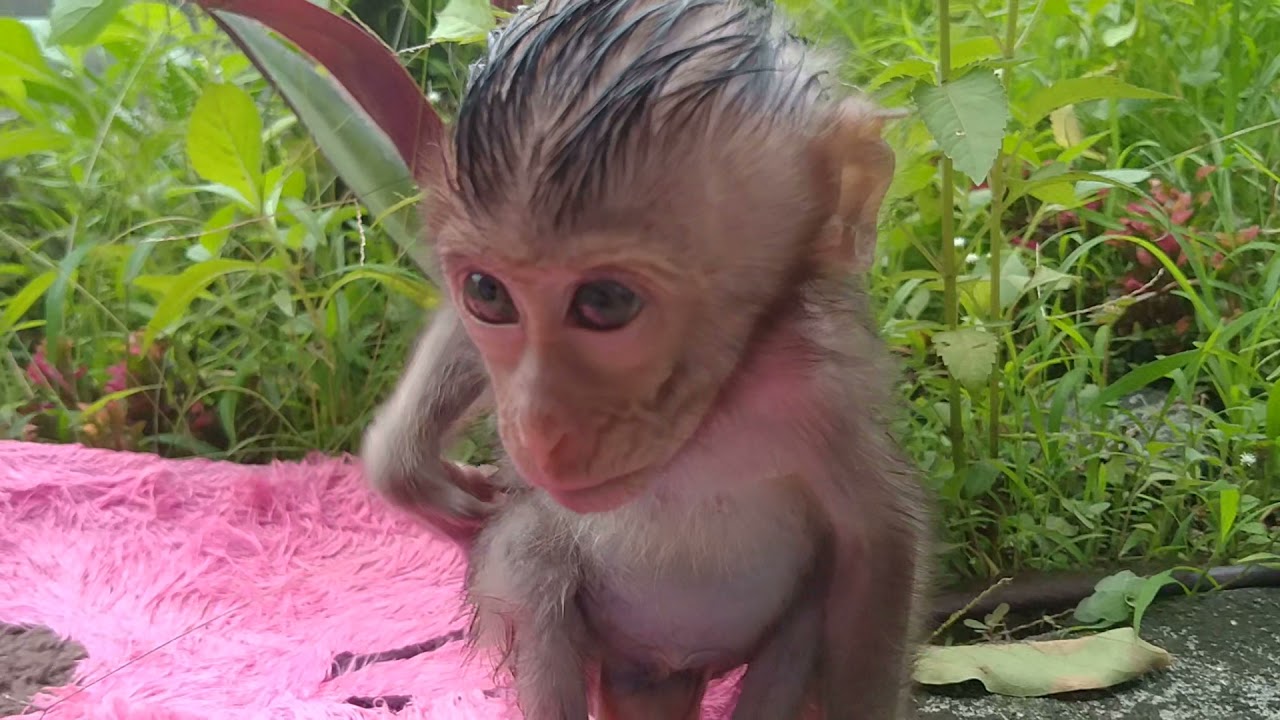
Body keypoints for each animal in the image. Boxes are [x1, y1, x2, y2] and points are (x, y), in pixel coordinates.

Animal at [357, 0, 934, 717]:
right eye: (487, 294)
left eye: (605, 303)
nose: (538, 429)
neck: (712, 413)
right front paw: (404, 467)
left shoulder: (827, 392)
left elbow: (880, 543)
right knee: (531, 554)